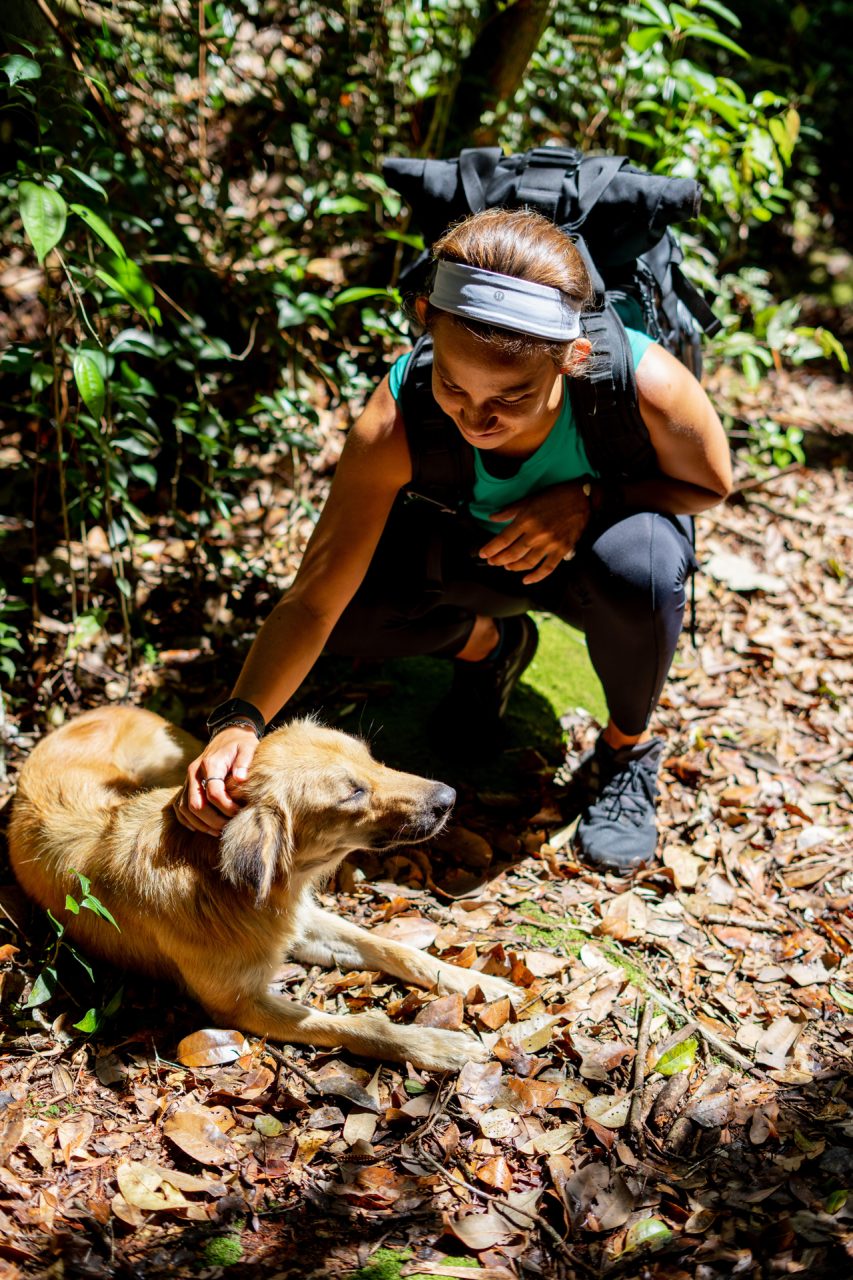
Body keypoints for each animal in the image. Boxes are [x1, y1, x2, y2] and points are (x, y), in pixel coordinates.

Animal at [8, 706, 517, 1075]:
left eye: (373, 758)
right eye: (351, 793)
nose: (449, 798)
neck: (221, 880)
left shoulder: (300, 923)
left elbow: (396, 950)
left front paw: (483, 983)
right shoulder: (240, 1008)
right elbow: (359, 1026)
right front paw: (432, 1044)